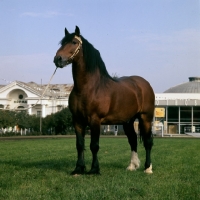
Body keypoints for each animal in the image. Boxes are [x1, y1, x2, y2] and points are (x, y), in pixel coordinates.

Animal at [53, 25, 155, 174]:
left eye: (74, 42)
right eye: (62, 43)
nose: (58, 59)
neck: (88, 88)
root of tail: (144, 83)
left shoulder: (95, 120)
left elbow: (94, 145)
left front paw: (94, 169)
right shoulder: (77, 120)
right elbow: (79, 145)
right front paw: (78, 169)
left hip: (145, 117)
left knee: (148, 142)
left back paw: (148, 168)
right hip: (127, 121)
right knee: (133, 140)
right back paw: (132, 166)